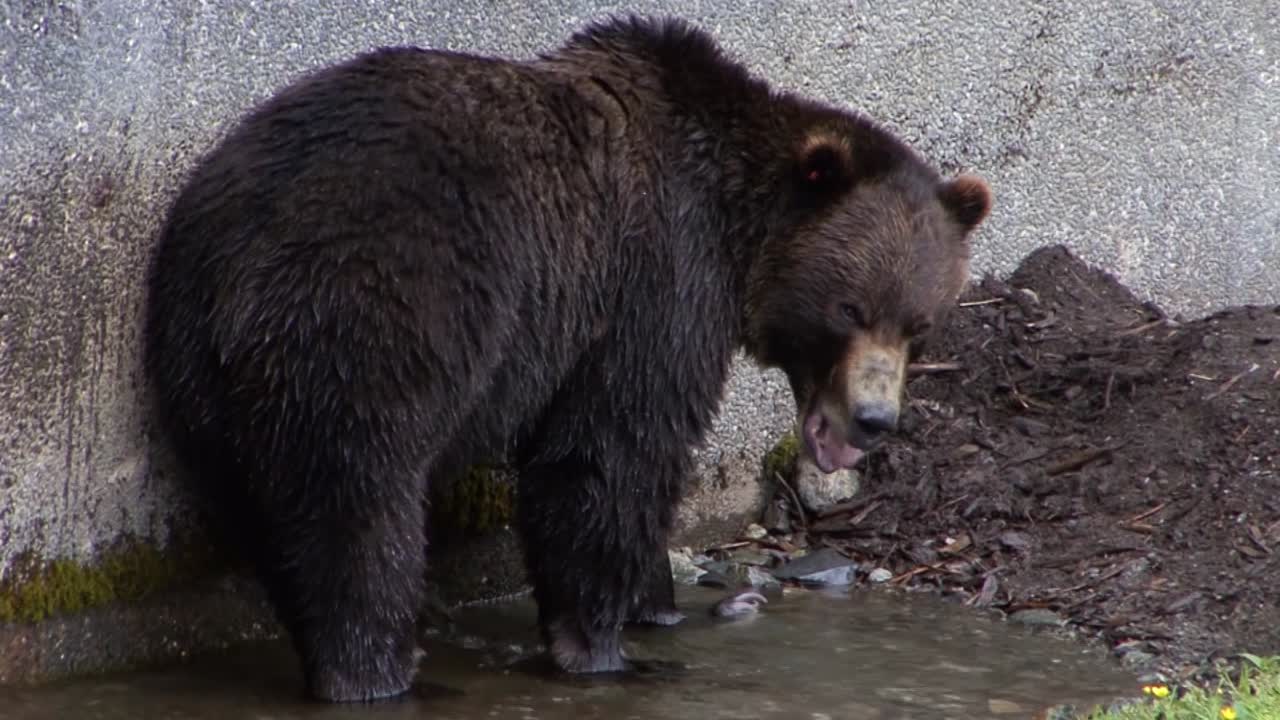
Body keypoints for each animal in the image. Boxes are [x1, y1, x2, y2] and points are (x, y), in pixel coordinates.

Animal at [143, 14, 991, 704]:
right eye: (849, 309)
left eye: (919, 322)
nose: (874, 419)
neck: (734, 229)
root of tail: (245, 251)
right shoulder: (653, 285)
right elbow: (611, 454)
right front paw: (602, 645)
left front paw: (656, 605)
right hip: (375, 313)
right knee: (359, 503)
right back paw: (378, 669)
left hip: (199, 368)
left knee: (268, 512)